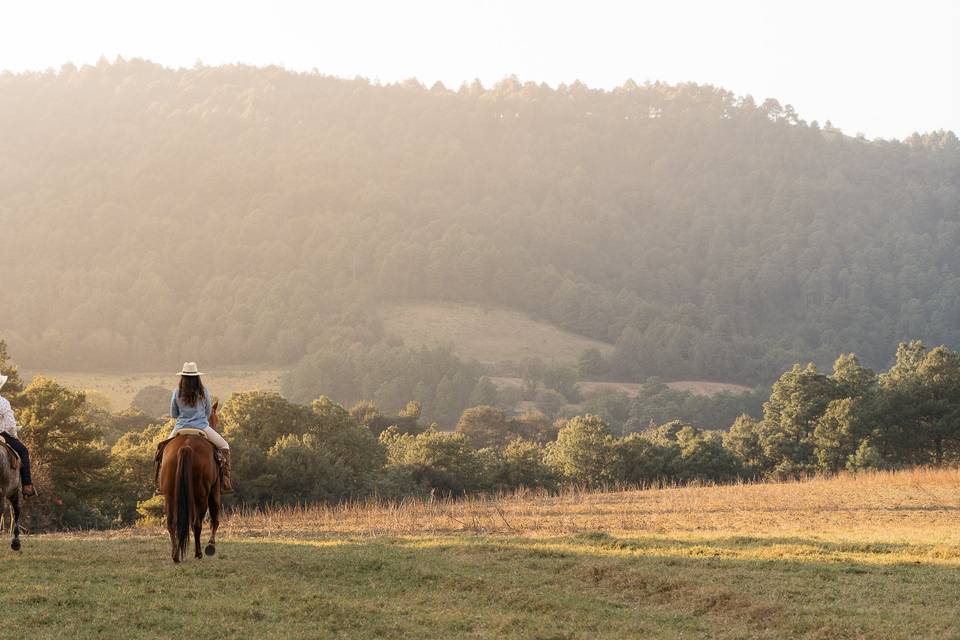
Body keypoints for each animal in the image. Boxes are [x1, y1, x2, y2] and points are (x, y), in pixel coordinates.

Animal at [160, 402, 222, 564]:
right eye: (216, 418)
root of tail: (186, 446)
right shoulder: (215, 489)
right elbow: (215, 518)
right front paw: (211, 545)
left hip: (170, 494)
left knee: (172, 523)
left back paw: (175, 555)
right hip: (202, 495)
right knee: (197, 523)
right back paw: (199, 553)